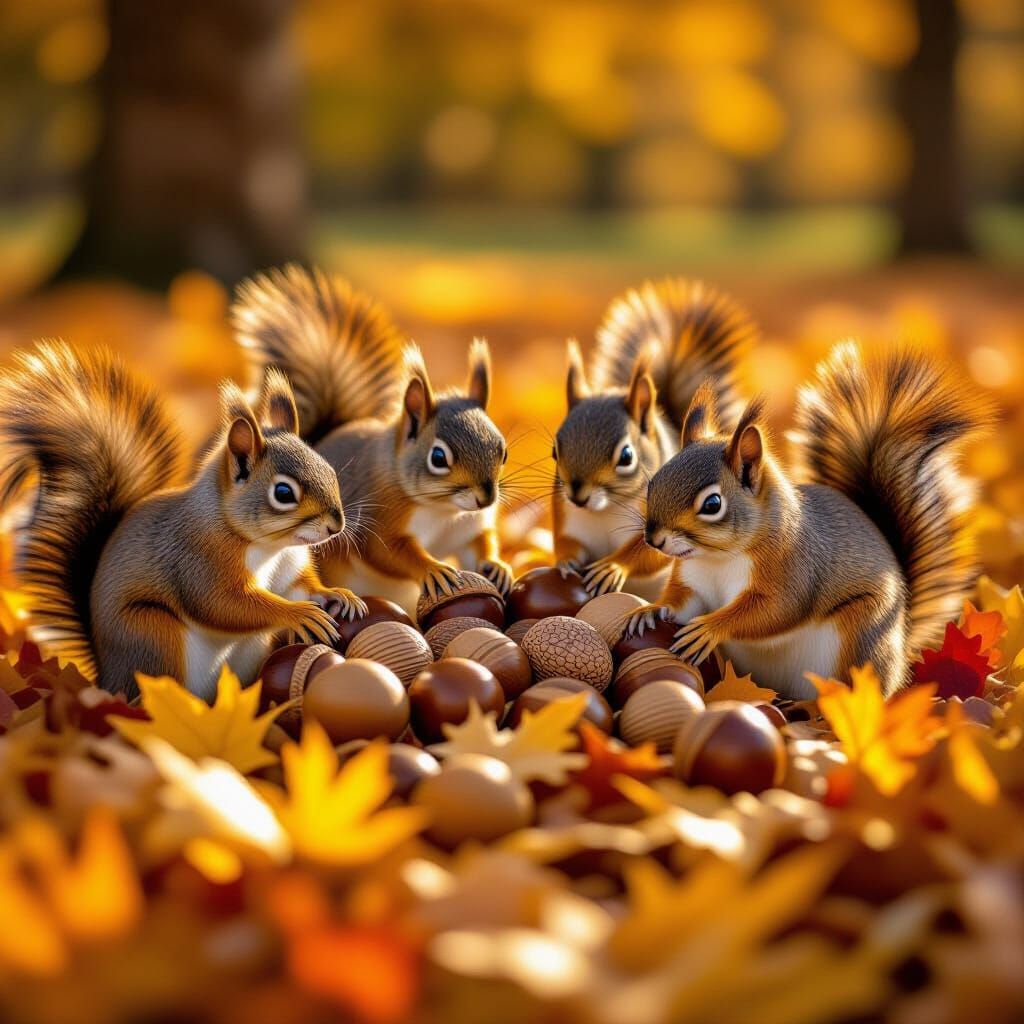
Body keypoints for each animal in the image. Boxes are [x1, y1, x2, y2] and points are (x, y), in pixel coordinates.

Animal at [0, 341, 364, 702]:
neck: (270, 546)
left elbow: (298, 586)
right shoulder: (199, 562)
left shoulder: (289, 565)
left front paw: (338, 594)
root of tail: (106, 675)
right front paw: (298, 613)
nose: (336, 527)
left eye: (330, 469)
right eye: (284, 492)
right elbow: (224, 604)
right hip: (153, 636)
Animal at [232, 264, 513, 611]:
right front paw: (432, 568)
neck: (444, 509)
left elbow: (479, 544)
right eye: (438, 457)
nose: (486, 499)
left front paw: (498, 565)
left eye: (503, 451)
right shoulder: (381, 516)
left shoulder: (469, 527)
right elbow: (389, 552)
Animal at [552, 277, 756, 600]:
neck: (605, 509)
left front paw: (612, 567)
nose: (577, 496)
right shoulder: (566, 515)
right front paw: (565, 562)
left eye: (626, 456)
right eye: (554, 451)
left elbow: (649, 554)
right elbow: (565, 541)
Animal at [625, 340, 994, 698]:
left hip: (860, 638)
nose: (653, 539)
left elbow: (772, 611)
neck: (717, 559)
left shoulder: (794, 572)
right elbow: (681, 602)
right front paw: (650, 610)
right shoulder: (693, 580)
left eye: (713, 503)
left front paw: (710, 627)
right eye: (654, 480)